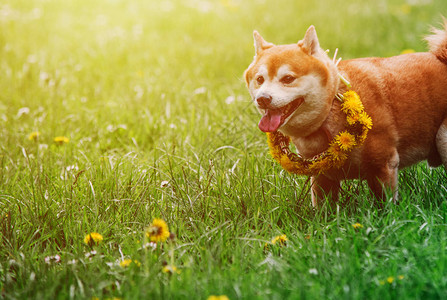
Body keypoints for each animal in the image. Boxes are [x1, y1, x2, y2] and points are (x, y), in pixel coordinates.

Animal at [243, 21, 447, 206]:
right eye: (260, 79)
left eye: (287, 79)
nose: (263, 98)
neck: (331, 110)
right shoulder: (321, 176)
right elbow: (323, 210)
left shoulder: (383, 164)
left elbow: (385, 206)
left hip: (442, 138)